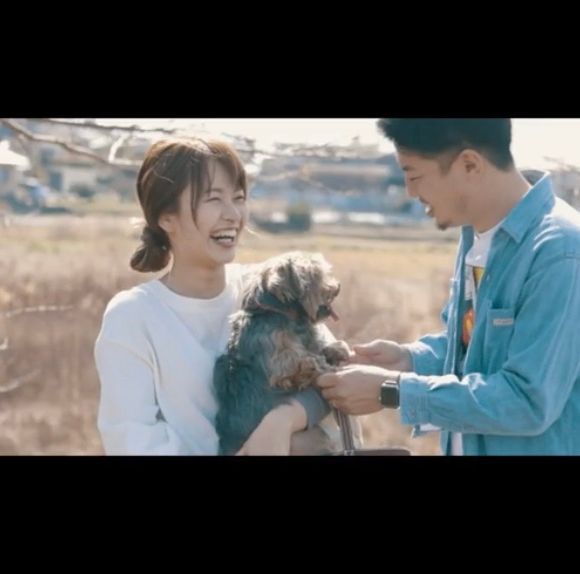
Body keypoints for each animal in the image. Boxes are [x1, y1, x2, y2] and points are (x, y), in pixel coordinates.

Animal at [213, 251, 354, 455]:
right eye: (314, 275)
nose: (337, 287)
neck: (286, 316)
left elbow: (317, 348)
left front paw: (336, 348)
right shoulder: (280, 362)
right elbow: (302, 361)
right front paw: (323, 365)